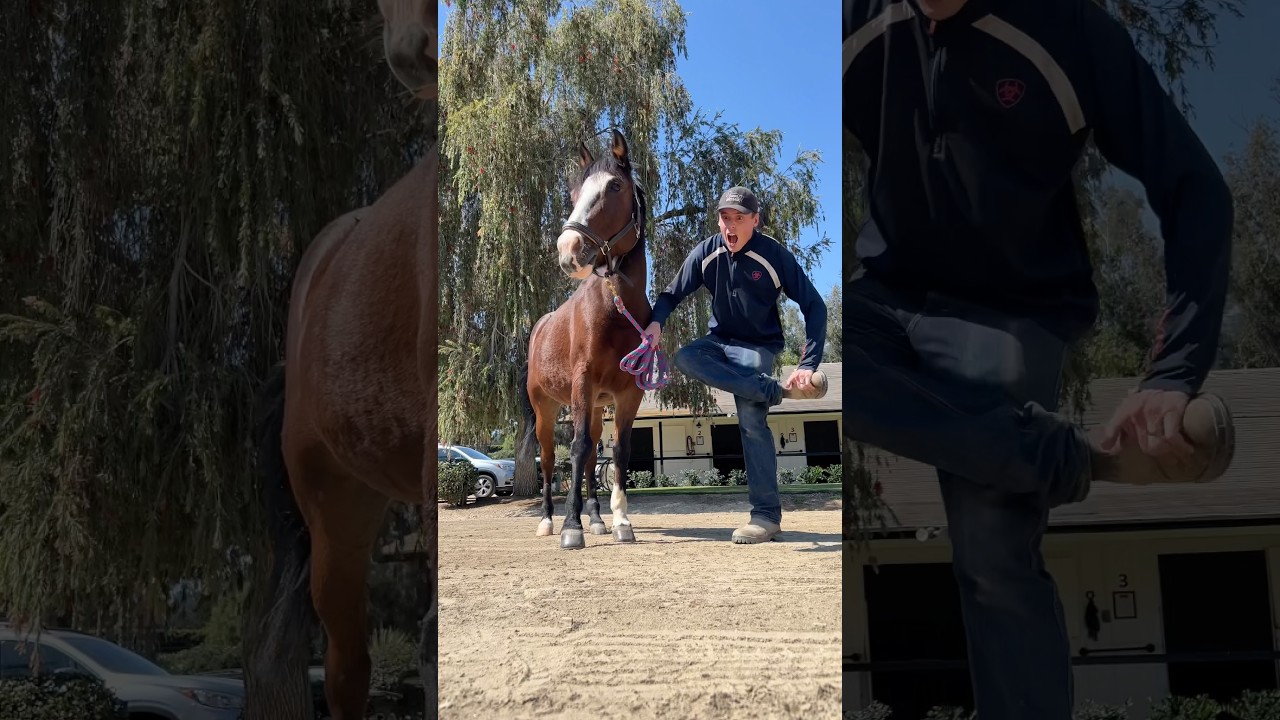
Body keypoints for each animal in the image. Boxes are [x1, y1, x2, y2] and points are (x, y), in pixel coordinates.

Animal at [517, 128, 650, 550]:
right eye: (574, 193)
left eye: (614, 186)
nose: (568, 251)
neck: (614, 312)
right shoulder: (581, 384)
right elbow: (574, 449)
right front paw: (570, 526)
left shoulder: (627, 394)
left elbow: (619, 453)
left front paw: (621, 521)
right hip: (545, 411)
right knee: (548, 459)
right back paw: (548, 520)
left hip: (593, 409)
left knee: (593, 456)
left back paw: (596, 518)